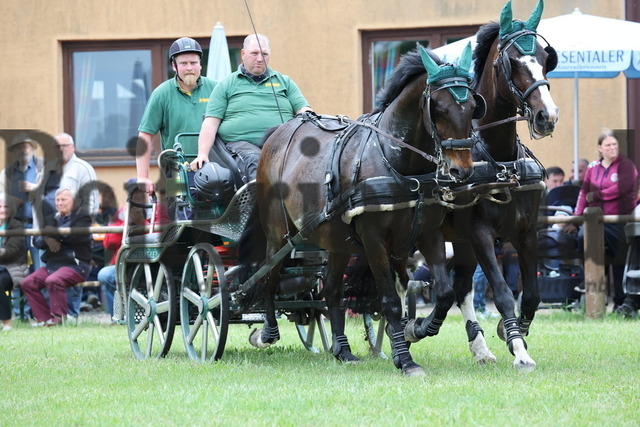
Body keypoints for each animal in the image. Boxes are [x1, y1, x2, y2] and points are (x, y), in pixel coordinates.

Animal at [238, 43, 484, 376]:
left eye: (472, 106)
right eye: (440, 108)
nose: (462, 170)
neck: (398, 161)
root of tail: (277, 134)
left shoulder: (428, 234)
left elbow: (444, 294)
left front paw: (416, 329)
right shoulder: (373, 239)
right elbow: (391, 300)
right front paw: (405, 359)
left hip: (336, 241)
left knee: (330, 291)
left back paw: (342, 350)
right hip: (278, 235)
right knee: (270, 278)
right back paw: (266, 333)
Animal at [405, 0, 559, 371]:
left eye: (545, 58)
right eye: (512, 61)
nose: (547, 116)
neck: (499, 161)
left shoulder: (526, 231)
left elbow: (531, 295)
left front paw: (512, 333)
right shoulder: (480, 234)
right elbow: (502, 292)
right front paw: (519, 350)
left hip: (458, 242)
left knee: (459, 288)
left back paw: (478, 346)